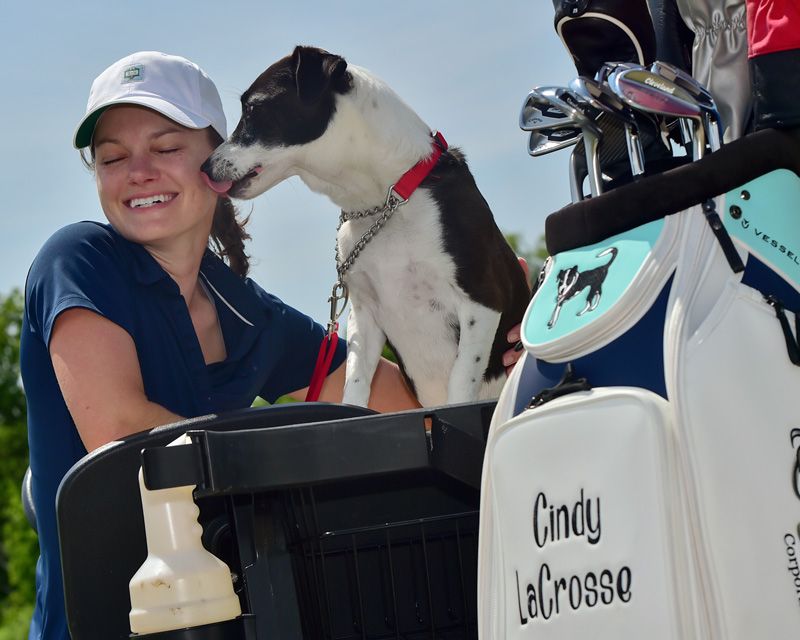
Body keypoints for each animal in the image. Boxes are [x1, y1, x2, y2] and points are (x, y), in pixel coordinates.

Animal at [202, 46, 532, 404]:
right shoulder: (364, 316)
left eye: (252, 108)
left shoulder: (482, 301)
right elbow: (356, 385)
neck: (386, 202)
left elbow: (460, 381)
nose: (205, 167)